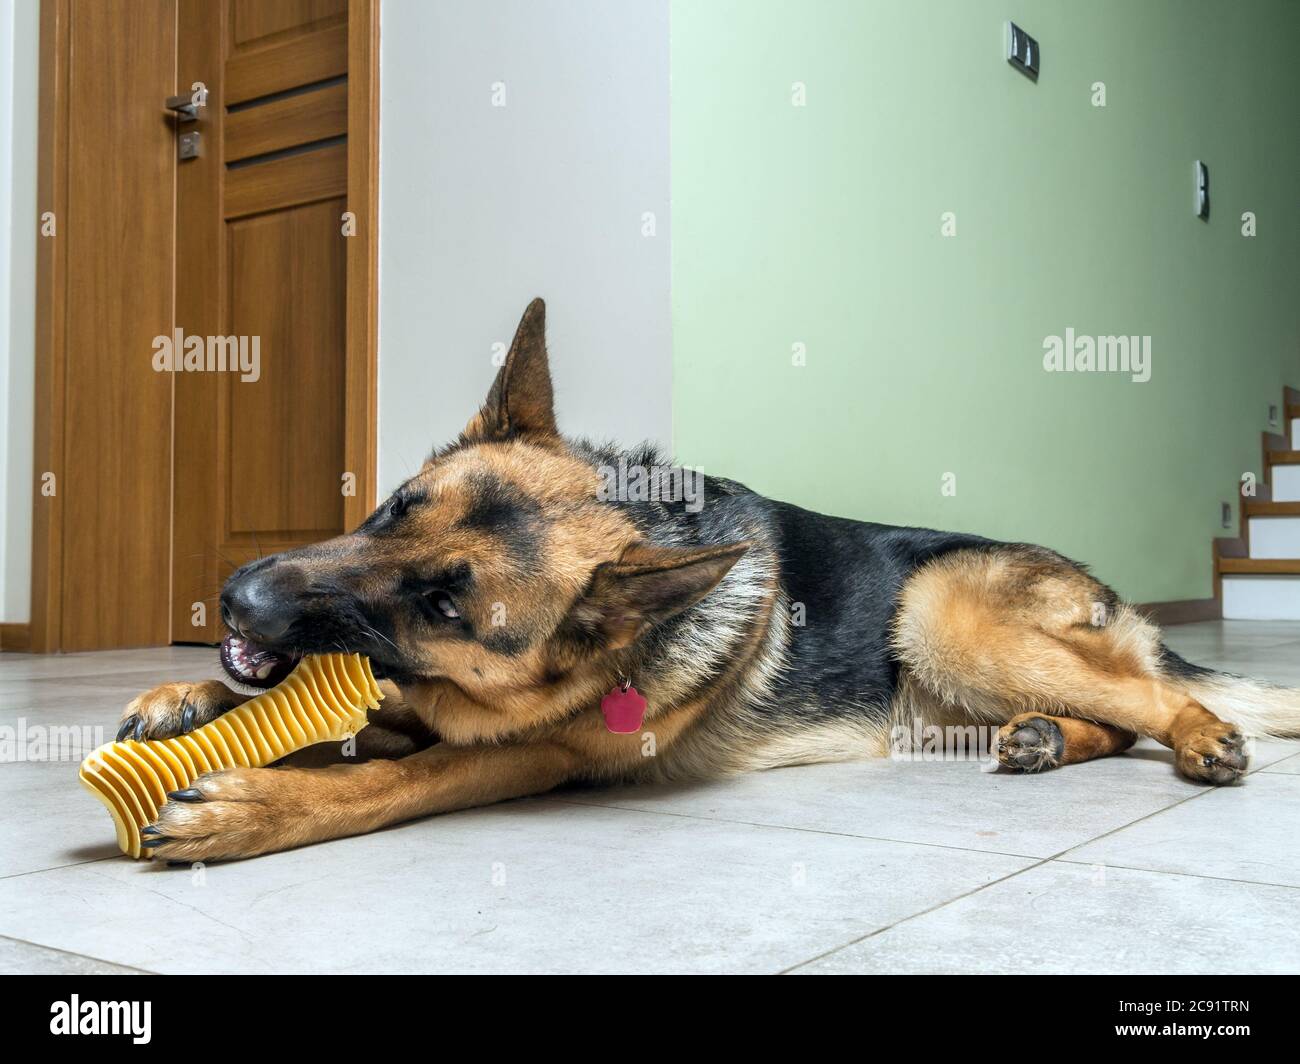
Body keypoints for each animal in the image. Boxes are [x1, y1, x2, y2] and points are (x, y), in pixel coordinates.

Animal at [122, 293, 1300, 858]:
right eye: (397, 507)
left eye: (446, 602)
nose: (239, 601)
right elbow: (321, 709)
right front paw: (182, 695)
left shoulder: (533, 758)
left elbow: (388, 776)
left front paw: (256, 805)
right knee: (1108, 713)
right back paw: (1048, 738)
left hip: (938, 614)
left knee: (1157, 698)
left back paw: (1200, 737)